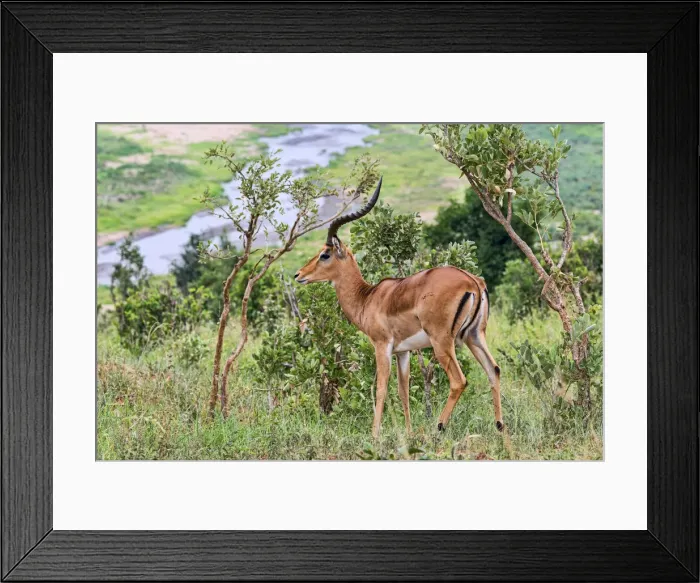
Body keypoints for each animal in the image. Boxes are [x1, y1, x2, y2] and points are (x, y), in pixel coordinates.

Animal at [295, 177, 503, 438]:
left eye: (325, 254)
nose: (298, 274)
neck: (368, 297)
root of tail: (472, 281)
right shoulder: (403, 352)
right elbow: (404, 391)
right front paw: (409, 433)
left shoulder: (382, 346)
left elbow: (381, 388)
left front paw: (375, 435)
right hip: (474, 335)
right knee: (494, 370)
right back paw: (501, 430)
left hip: (442, 342)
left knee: (459, 381)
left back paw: (438, 427)